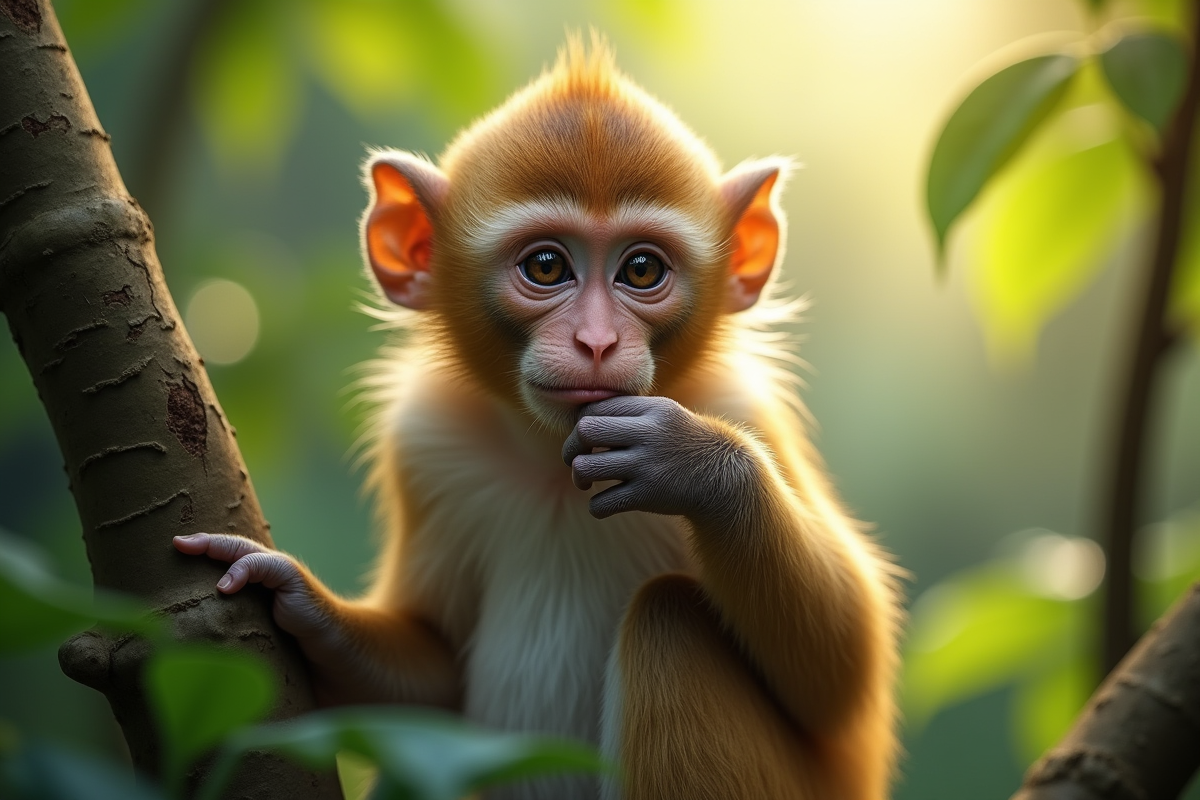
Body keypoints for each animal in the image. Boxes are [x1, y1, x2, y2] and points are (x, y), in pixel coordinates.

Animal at [173, 36, 902, 800]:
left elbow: (842, 674)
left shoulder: (740, 404)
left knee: (670, 623)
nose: (596, 342)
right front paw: (292, 592)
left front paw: (694, 465)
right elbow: (428, 684)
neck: (554, 463)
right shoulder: (426, 442)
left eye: (642, 270)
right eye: (547, 266)